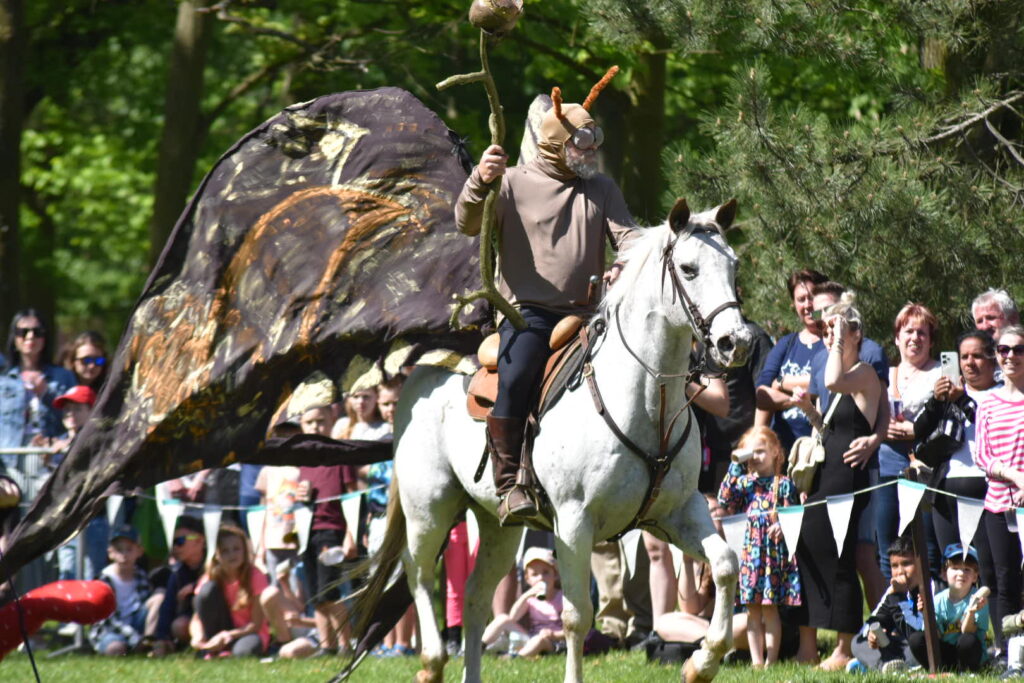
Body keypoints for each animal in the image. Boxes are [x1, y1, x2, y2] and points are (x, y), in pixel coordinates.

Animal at [355, 198, 752, 683]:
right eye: (689, 268)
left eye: (733, 267)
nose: (736, 343)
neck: (646, 401)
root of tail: (421, 374)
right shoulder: (574, 522)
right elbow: (576, 616)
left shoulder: (677, 512)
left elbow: (726, 565)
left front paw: (702, 661)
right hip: (429, 508)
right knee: (418, 574)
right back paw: (431, 662)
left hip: (497, 525)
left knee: (475, 596)